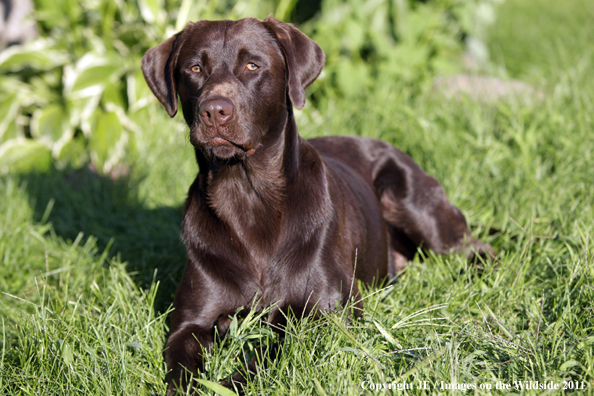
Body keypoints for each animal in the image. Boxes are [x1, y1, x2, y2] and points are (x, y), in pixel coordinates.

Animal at [141, 14, 492, 392]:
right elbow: (181, 370)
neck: (246, 194)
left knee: (474, 246)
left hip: (413, 201)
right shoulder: (188, 323)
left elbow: (270, 350)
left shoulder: (328, 314)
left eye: (252, 65)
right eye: (194, 68)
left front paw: (229, 382)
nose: (215, 111)